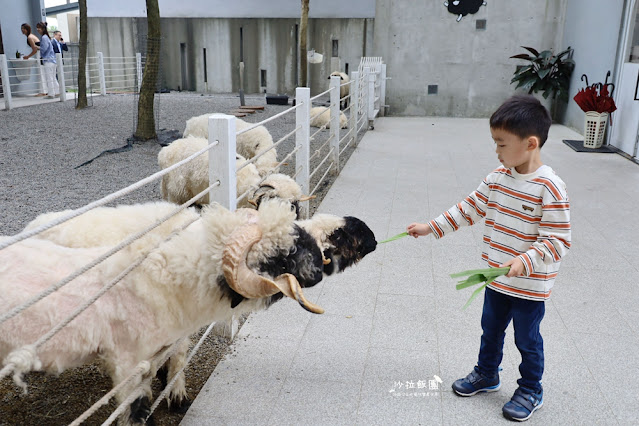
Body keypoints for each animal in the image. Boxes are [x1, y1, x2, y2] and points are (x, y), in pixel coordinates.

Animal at [2, 200, 378, 422]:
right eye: (284, 255)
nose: (372, 237)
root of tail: (33, 224)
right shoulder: (132, 350)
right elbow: (144, 389)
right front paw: (172, 396)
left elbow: (175, 357)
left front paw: (172, 391)